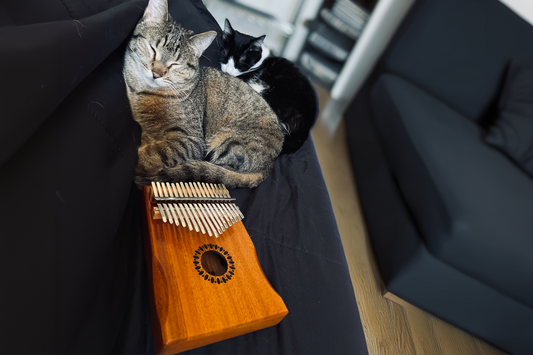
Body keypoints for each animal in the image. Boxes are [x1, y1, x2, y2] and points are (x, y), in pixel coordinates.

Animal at [123, 0, 284, 191]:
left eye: (176, 64)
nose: (157, 73)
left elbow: (157, 153)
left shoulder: (191, 141)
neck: (143, 91)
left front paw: (138, 161)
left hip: (226, 145)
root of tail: (269, 165)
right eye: (152, 49)